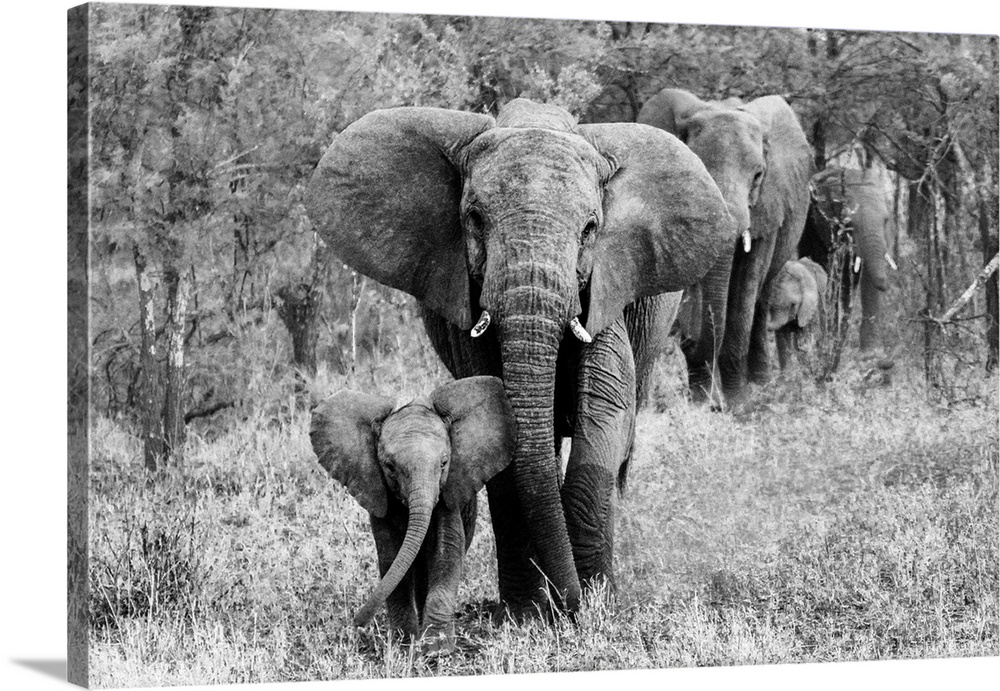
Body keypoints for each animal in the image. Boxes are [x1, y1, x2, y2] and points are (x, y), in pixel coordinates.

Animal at [310, 376, 516, 652]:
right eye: (389, 467)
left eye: (444, 463)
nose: (355, 623)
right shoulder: (379, 496)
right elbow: (392, 557)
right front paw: (403, 645)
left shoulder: (448, 494)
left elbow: (446, 552)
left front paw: (436, 650)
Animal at [636, 89, 816, 408]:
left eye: (758, 175)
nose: (688, 340)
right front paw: (701, 402)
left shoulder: (767, 206)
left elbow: (744, 294)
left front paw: (737, 404)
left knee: (760, 300)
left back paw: (761, 385)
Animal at [800, 166, 896, 354]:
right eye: (849, 224)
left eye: (886, 220)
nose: (886, 286)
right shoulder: (820, 228)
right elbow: (826, 276)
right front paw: (828, 342)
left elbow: (867, 281)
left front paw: (872, 352)